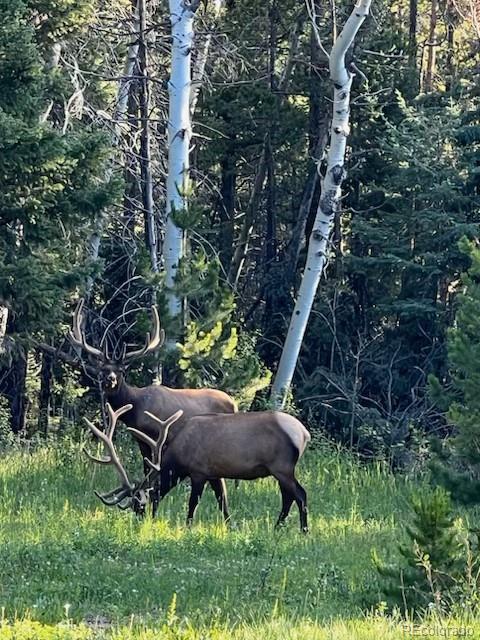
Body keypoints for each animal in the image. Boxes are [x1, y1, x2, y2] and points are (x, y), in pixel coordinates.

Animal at [69, 298, 236, 510]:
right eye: (103, 369)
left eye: (122, 370)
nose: (111, 380)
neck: (134, 407)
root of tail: (234, 403)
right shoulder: (141, 440)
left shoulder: (157, 436)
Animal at [129, 410, 312, 528]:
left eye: (139, 504)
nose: (141, 521)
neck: (180, 457)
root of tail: (304, 434)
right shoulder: (214, 474)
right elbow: (223, 501)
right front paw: (230, 527)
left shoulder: (199, 472)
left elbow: (193, 503)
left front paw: (187, 527)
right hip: (280, 470)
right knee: (288, 497)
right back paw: (277, 527)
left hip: (282, 468)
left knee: (300, 494)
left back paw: (304, 530)